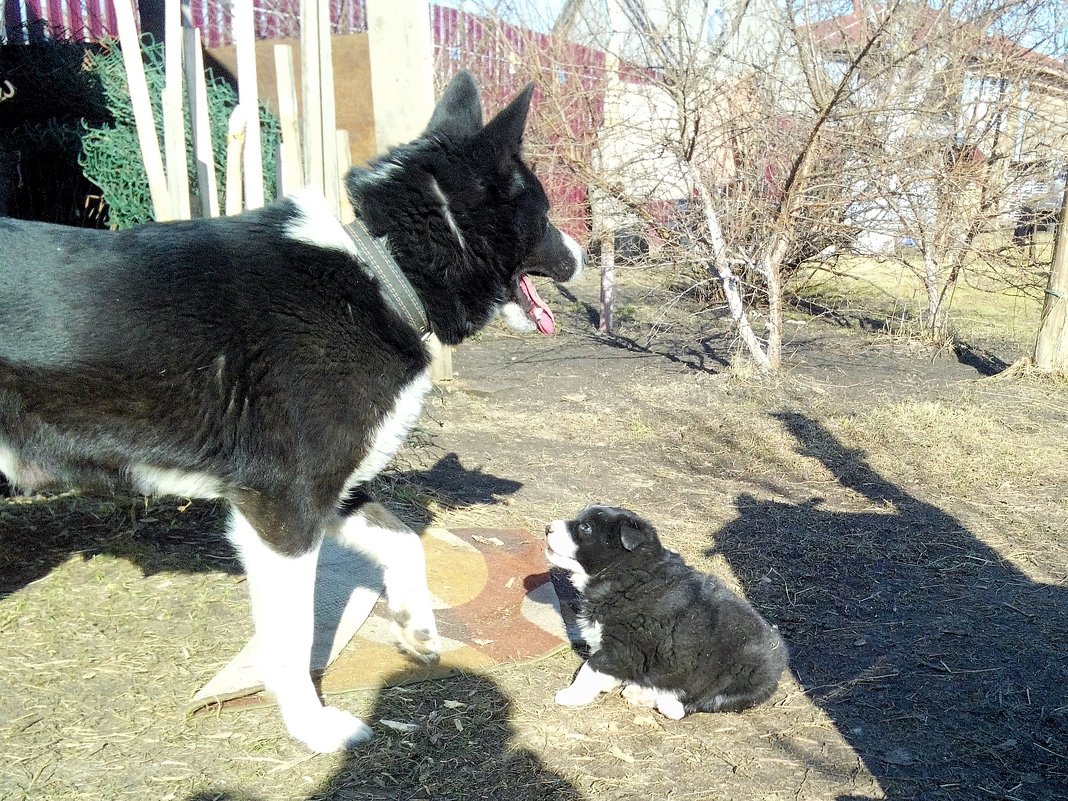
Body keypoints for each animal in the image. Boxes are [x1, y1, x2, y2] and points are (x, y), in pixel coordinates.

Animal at [0, 70, 585, 751]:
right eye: (543, 213)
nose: (583, 254)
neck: (383, 267)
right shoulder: (283, 511)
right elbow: (293, 636)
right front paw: (313, 727)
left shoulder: (329, 492)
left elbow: (405, 543)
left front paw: (417, 627)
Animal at [546, 508, 790, 721]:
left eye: (585, 527)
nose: (548, 527)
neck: (626, 576)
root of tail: (781, 656)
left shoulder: (625, 647)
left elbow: (590, 667)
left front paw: (572, 695)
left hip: (738, 676)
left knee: (703, 700)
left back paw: (659, 700)